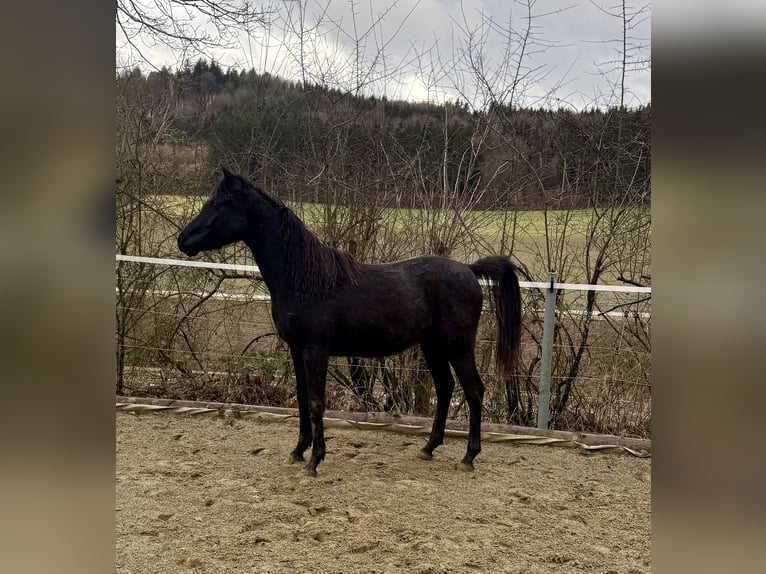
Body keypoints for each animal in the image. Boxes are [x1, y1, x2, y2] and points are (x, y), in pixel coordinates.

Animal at [178, 168, 522, 476]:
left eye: (220, 204)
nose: (183, 239)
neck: (306, 279)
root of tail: (468, 270)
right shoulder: (297, 350)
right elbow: (302, 399)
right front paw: (298, 451)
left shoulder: (316, 351)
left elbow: (317, 402)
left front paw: (315, 460)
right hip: (432, 346)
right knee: (446, 386)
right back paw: (428, 447)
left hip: (458, 346)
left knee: (474, 390)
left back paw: (469, 456)